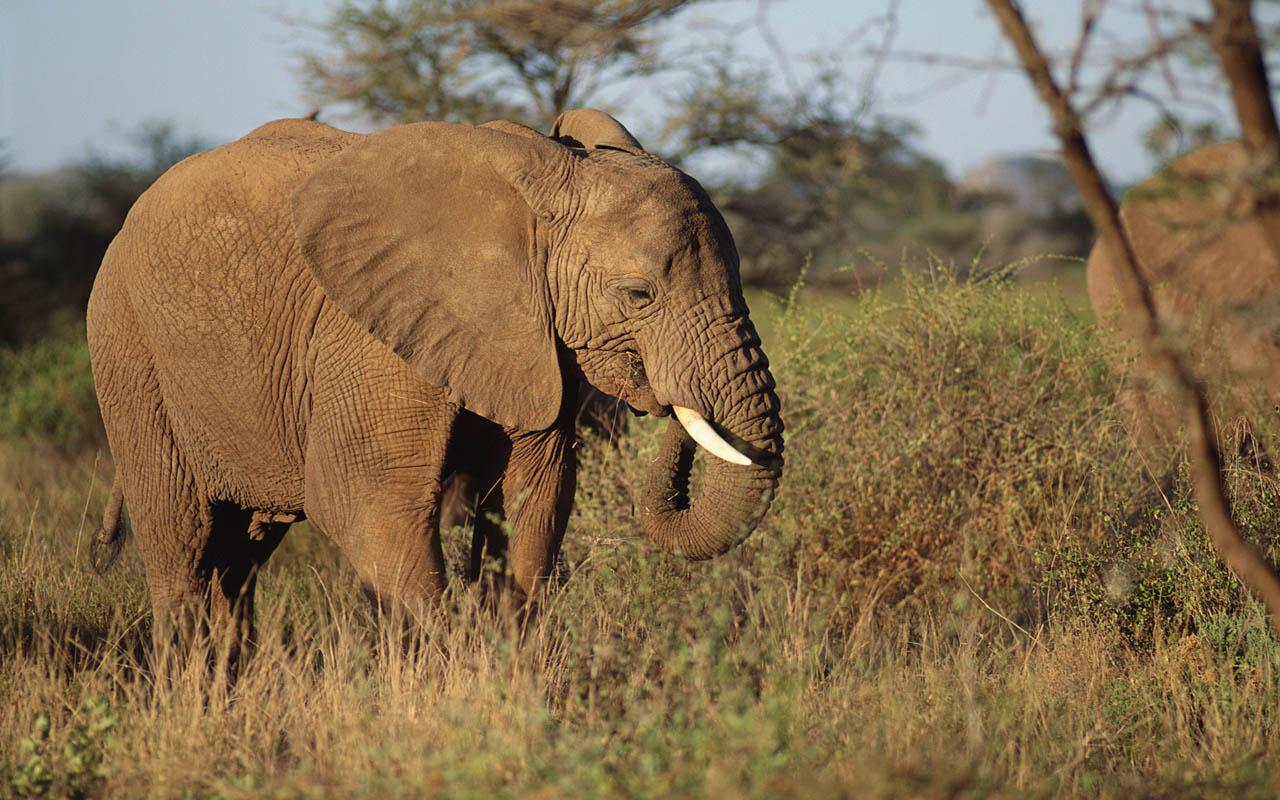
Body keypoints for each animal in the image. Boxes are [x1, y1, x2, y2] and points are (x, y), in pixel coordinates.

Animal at [87, 106, 778, 655]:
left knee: (239, 562)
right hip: (128, 353)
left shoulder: (538, 343)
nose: (670, 404)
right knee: (183, 547)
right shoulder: (370, 341)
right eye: (638, 295)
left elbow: (536, 502)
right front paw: (457, 668)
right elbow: (369, 508)